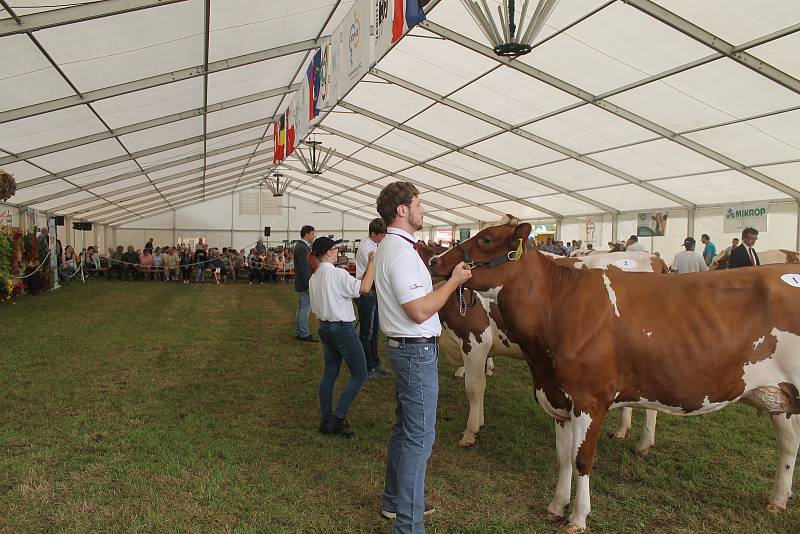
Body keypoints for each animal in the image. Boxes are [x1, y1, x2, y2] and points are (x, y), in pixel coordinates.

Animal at [432, 217, 800, 532]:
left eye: (486, 239)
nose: (436, 261)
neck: (557, 306)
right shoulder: (557, 396)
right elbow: (563, 457)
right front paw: (556, 505)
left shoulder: (588, 400)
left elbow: (581, 459)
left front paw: (577, 518)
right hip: (778, 395)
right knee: (789, 443)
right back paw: (778, 499)